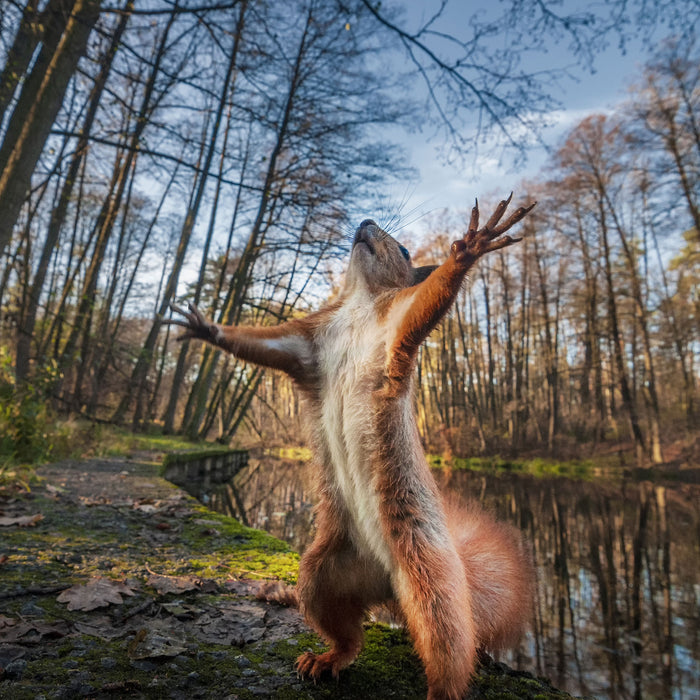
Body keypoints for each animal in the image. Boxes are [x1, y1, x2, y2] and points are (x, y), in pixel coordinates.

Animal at [168, 194, 536, 700]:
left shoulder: (398, 324)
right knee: (348, 633)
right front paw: (208, 328)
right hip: (322, 573)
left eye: (404, 249)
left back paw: (438, 687)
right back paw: (326, 659)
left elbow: (431, 300)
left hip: (432, 580)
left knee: (448, 648)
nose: (365, 222)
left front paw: (469, 248)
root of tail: (387, 587)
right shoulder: (307, 345)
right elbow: (261, 345)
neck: (360, 302)